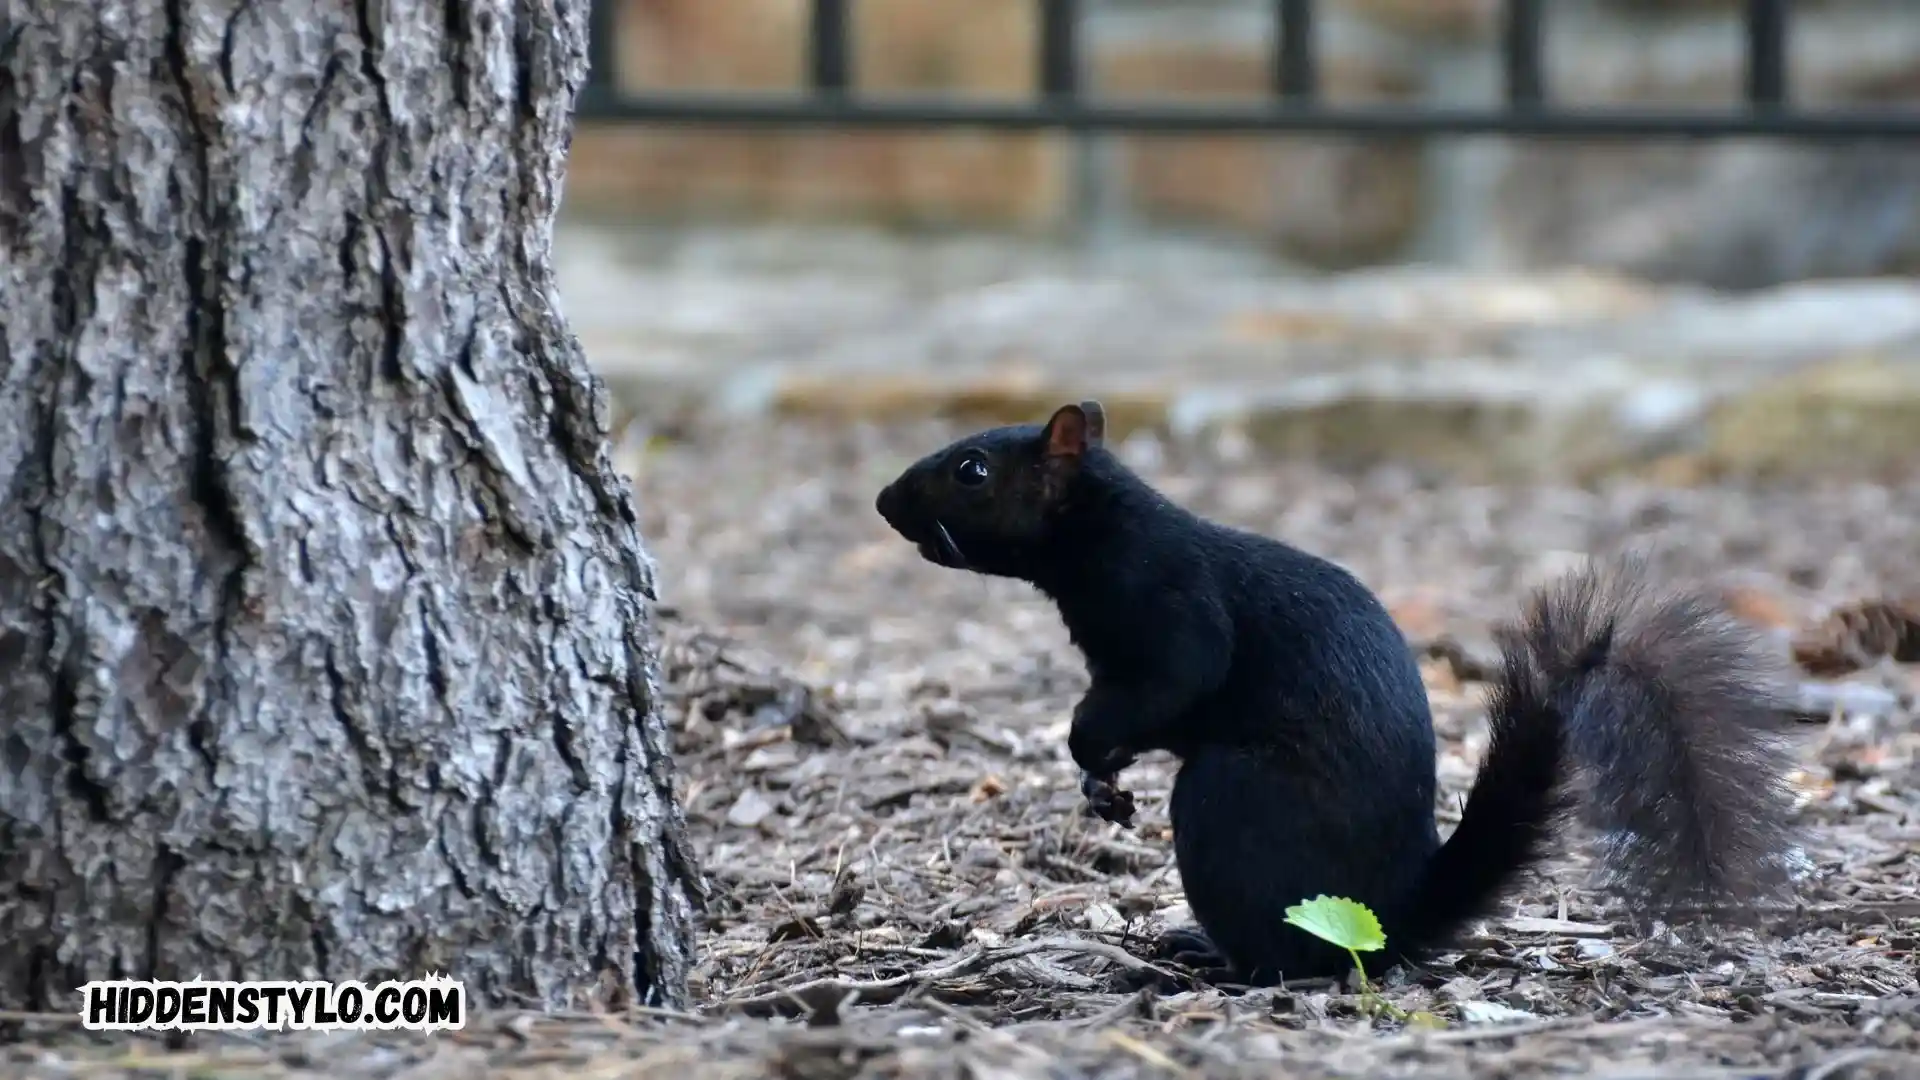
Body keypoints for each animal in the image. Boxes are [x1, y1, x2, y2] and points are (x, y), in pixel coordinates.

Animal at [879, 397, 1804, 983]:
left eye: (972, 469)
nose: (886, 502)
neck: (1099, 530)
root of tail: (1394, 913)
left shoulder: (1169, 608)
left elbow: (1172, 680)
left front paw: (1088, 752)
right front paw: (1099, 782)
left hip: (1229, 800)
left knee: (1291, 959)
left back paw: (1216, 969)